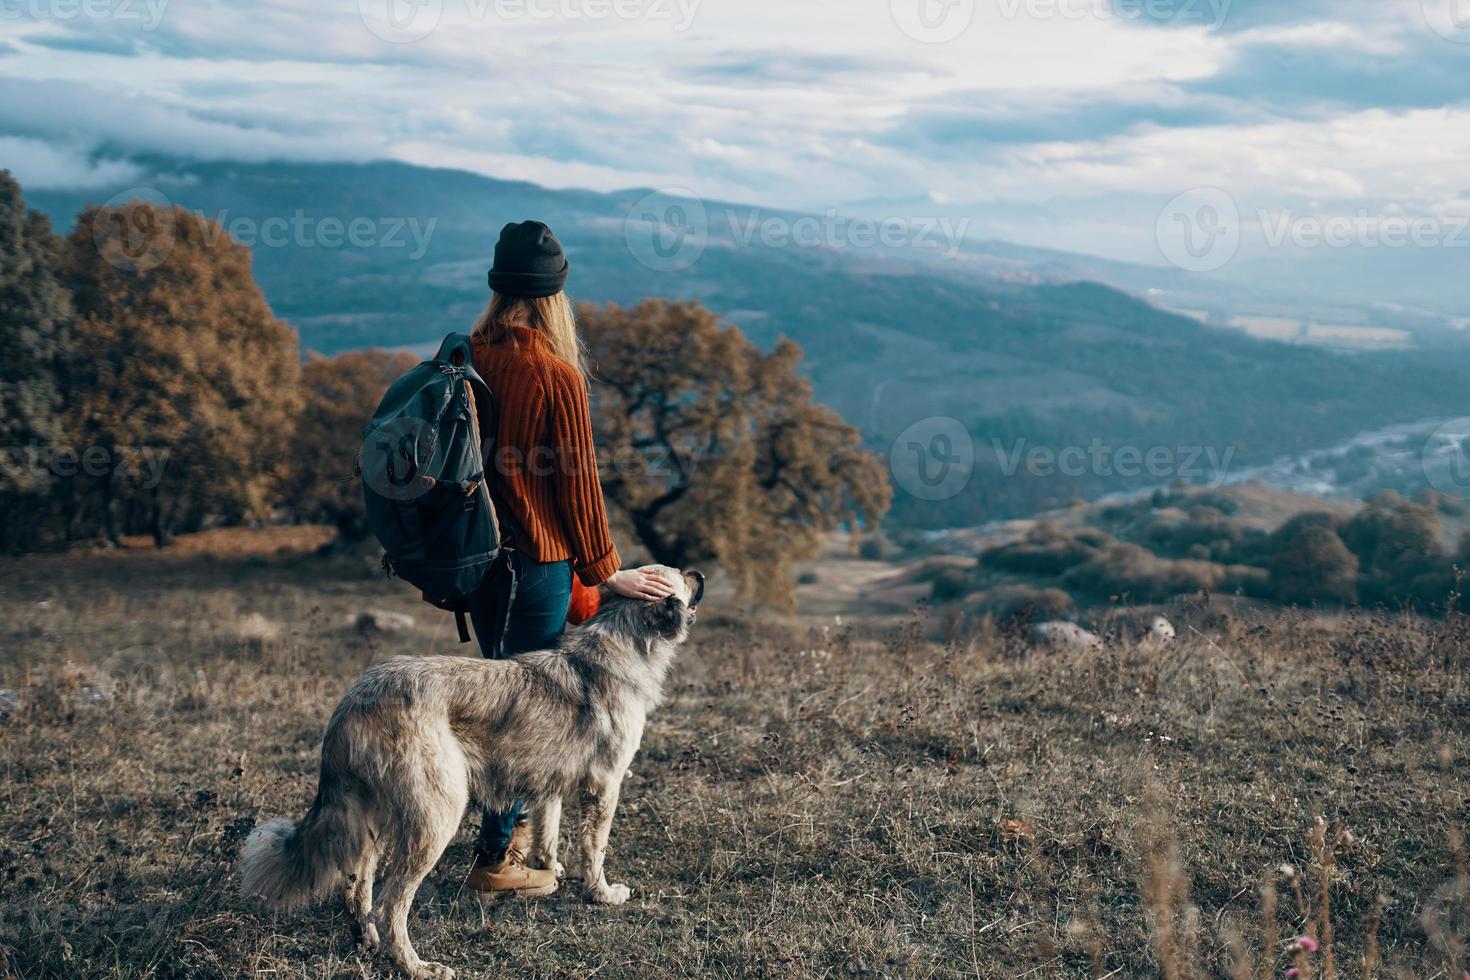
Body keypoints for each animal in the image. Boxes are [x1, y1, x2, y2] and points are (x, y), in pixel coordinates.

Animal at [236, 567, 705, 980]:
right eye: (679, 575)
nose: (699, 572)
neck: (625, 643)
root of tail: (356, 698)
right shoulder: (604, 786)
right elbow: (596, 851)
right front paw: (602, 894)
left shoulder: (549, 783)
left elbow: (547, 831)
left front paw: (548, 869)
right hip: (437, 815)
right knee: (391, 906)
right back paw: (415, 967)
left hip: (372, 816)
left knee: (359, 884)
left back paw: (367, 941)